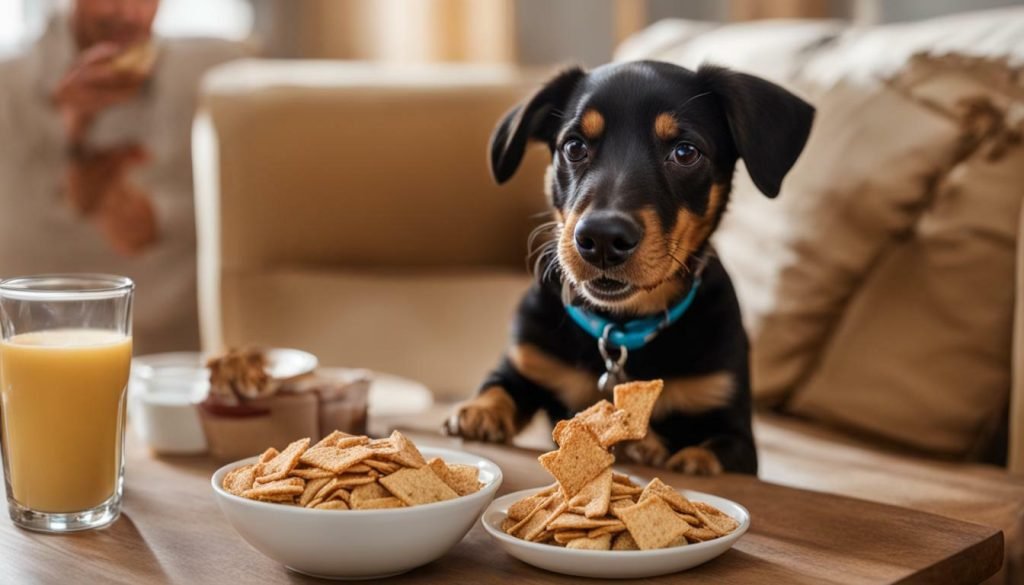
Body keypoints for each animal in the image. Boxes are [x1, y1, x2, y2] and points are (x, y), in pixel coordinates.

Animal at [444, 60, 811, 475]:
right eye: (574, 146)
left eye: (686, 152)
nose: (602, 239)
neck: (621, 325)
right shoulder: (527, 362)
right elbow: (498, 387)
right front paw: (479, 412)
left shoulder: (735, 431)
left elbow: (712, 452)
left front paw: (668, 454)